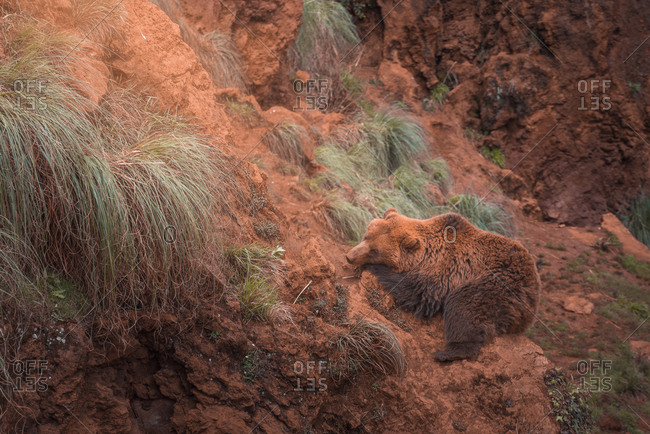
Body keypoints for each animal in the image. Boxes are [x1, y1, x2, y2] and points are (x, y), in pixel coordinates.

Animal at [345, 208, 540, 362]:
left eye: (374, 251)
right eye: (366, 236)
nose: (350, 256)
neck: (428, 254)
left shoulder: (448, 270)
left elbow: (418, 293)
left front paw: (375, 268)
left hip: (500, 283)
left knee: (464, 303)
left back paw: (448, 353)